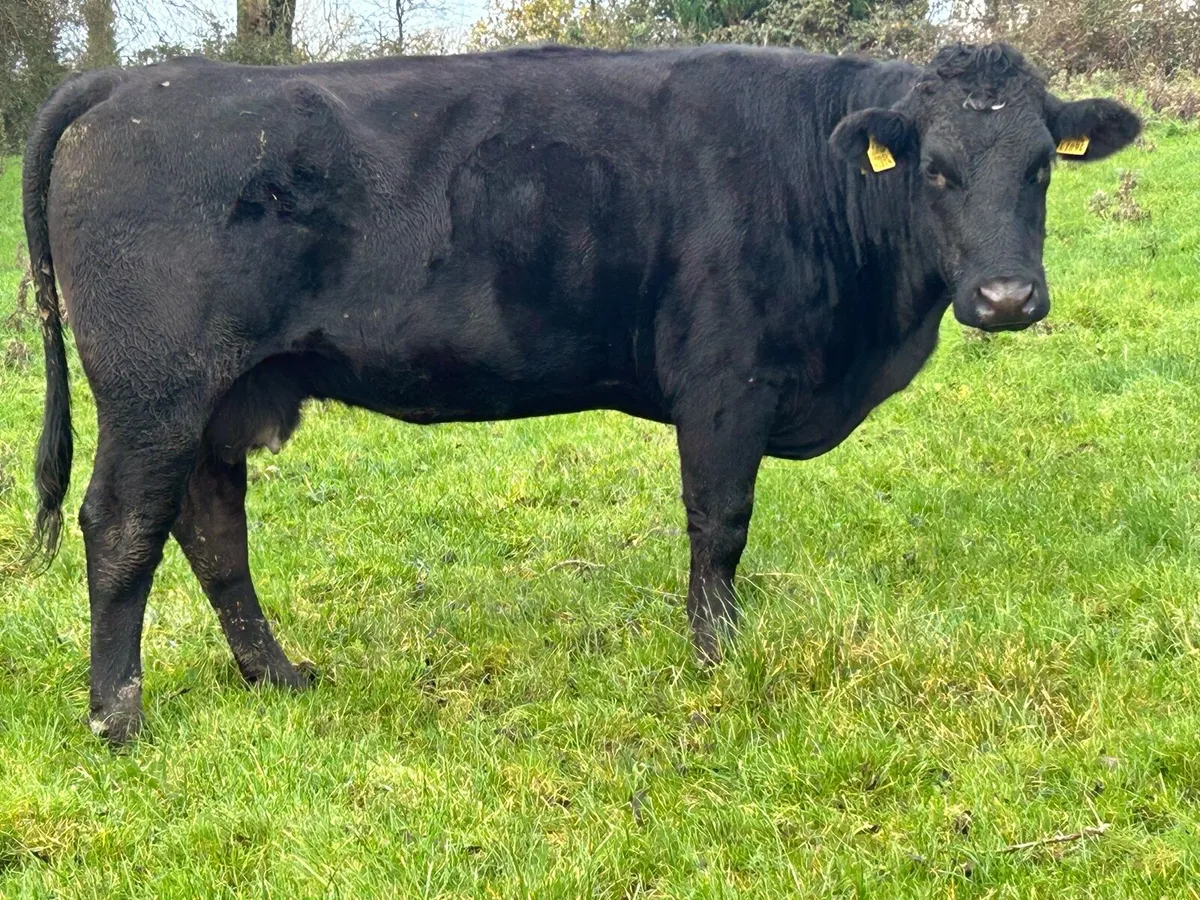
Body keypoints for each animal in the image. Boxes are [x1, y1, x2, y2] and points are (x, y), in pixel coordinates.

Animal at [23, 41, 1140, 743]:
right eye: (936, 171)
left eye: (1041, 168)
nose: (1006, 297)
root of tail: (131, 84)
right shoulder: (726, 384)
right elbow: (719, 524)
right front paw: (718, 656)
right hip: (156, 392)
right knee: (122, 527)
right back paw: (118, 718)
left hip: (220, 399)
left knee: (212, 531)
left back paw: (279, 677)